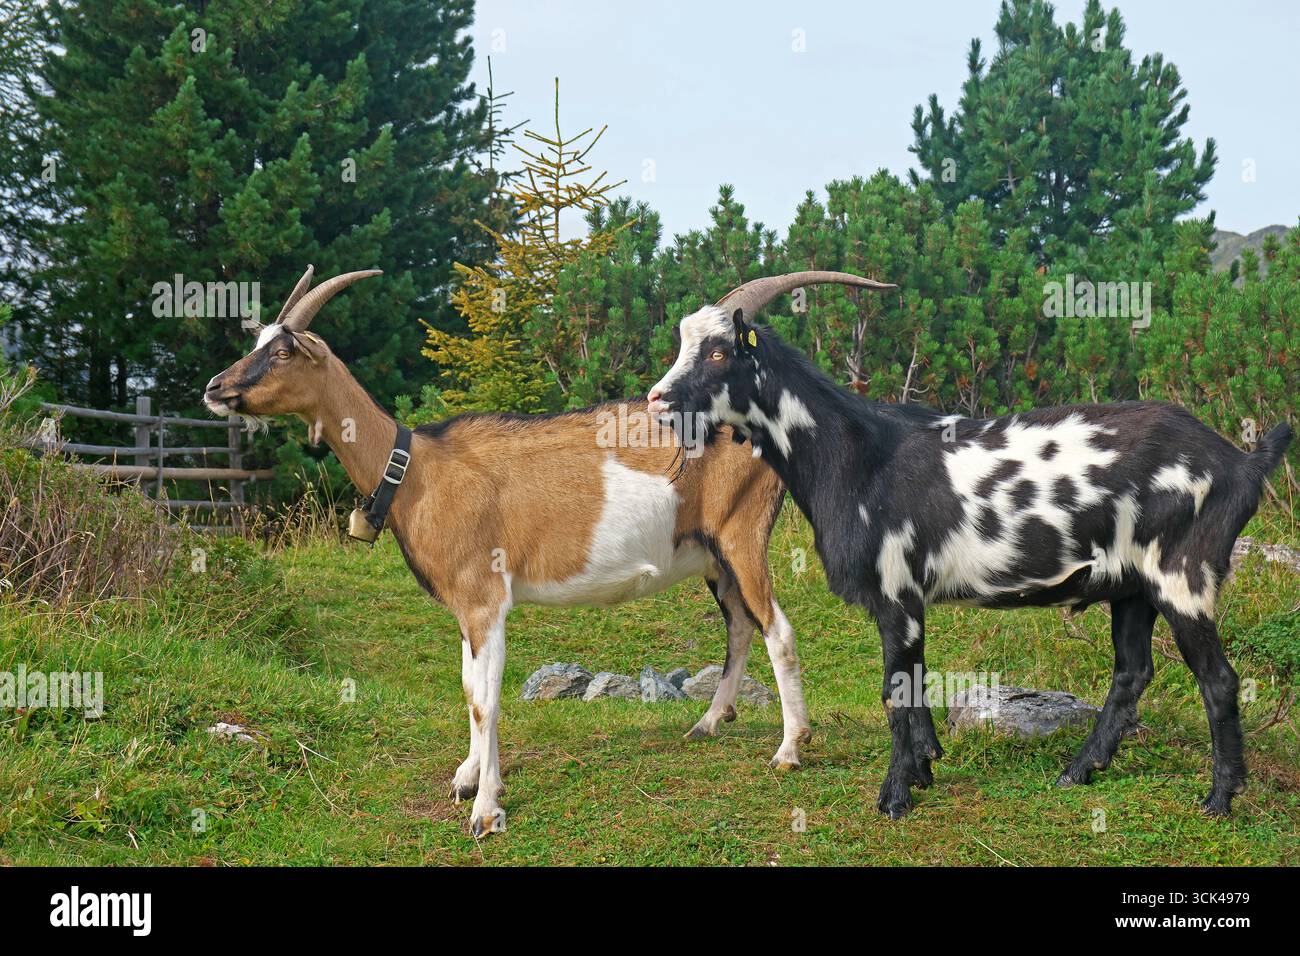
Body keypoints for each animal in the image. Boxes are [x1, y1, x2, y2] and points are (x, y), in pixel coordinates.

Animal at [201, 266, 872, 835]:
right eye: (259, 340)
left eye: (282, 350)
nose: (214, 386)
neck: (416, 471)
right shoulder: (467, 607)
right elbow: (469, 687)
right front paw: (467, 779)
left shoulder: (484, 598)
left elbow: (487, 699)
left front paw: (486, 810)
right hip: (713, 553)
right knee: (739, 624)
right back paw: (708, 722)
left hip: (742, 533)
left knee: (777, 628)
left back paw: (789, 749)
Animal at [648, 271, 1293, 819]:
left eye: (718, 351)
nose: (656, 400)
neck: (858, 456)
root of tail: (1240, 463)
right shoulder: (909, 601)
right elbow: (914, 685)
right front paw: (925, 770)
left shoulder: (896, 592)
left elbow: (896, 692)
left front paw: (895, 797)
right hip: (1132, 587)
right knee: (1132, 673)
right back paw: (1079, 770)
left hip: (1183, 575)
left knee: (1218, 680)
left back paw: (1219, 800)